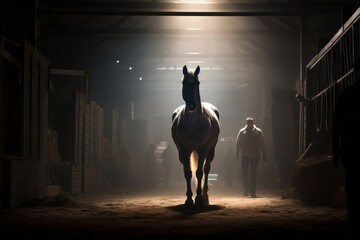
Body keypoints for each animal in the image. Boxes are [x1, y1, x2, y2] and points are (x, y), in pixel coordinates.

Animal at [171, 65, 219, 206]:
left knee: (206, 169)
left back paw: (205, 197)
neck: (193, 124)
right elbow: (188, 173)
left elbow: (199, 172)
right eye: (184, 83)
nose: (192, 106)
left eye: (197, 83)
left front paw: (198, 198)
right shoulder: (184, 150)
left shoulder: (202, 150)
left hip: (211, 150)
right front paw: (188, 199)